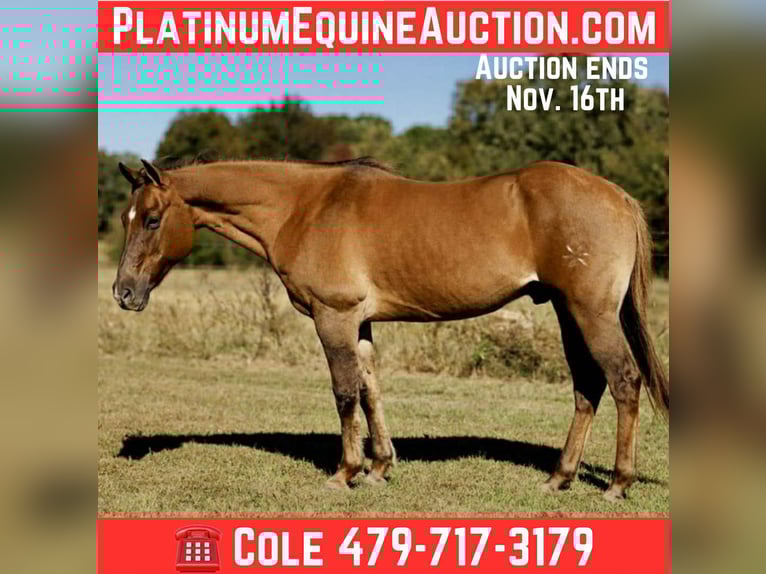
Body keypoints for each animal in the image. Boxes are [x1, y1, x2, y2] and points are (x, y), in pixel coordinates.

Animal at [113, 157, 669, 501]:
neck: (304, 207)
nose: (123, 292)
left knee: (623, 381)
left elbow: (343, 393)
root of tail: (618, 196)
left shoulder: (333, 316)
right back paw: (560, 477)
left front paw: (345, 472)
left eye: (153, 219)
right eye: (126, 217)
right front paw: (380, 466)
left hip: (591, 312)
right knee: (587, 387)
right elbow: (370, 391)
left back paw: (617, 483)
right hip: (566, 310)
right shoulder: (360, 323)